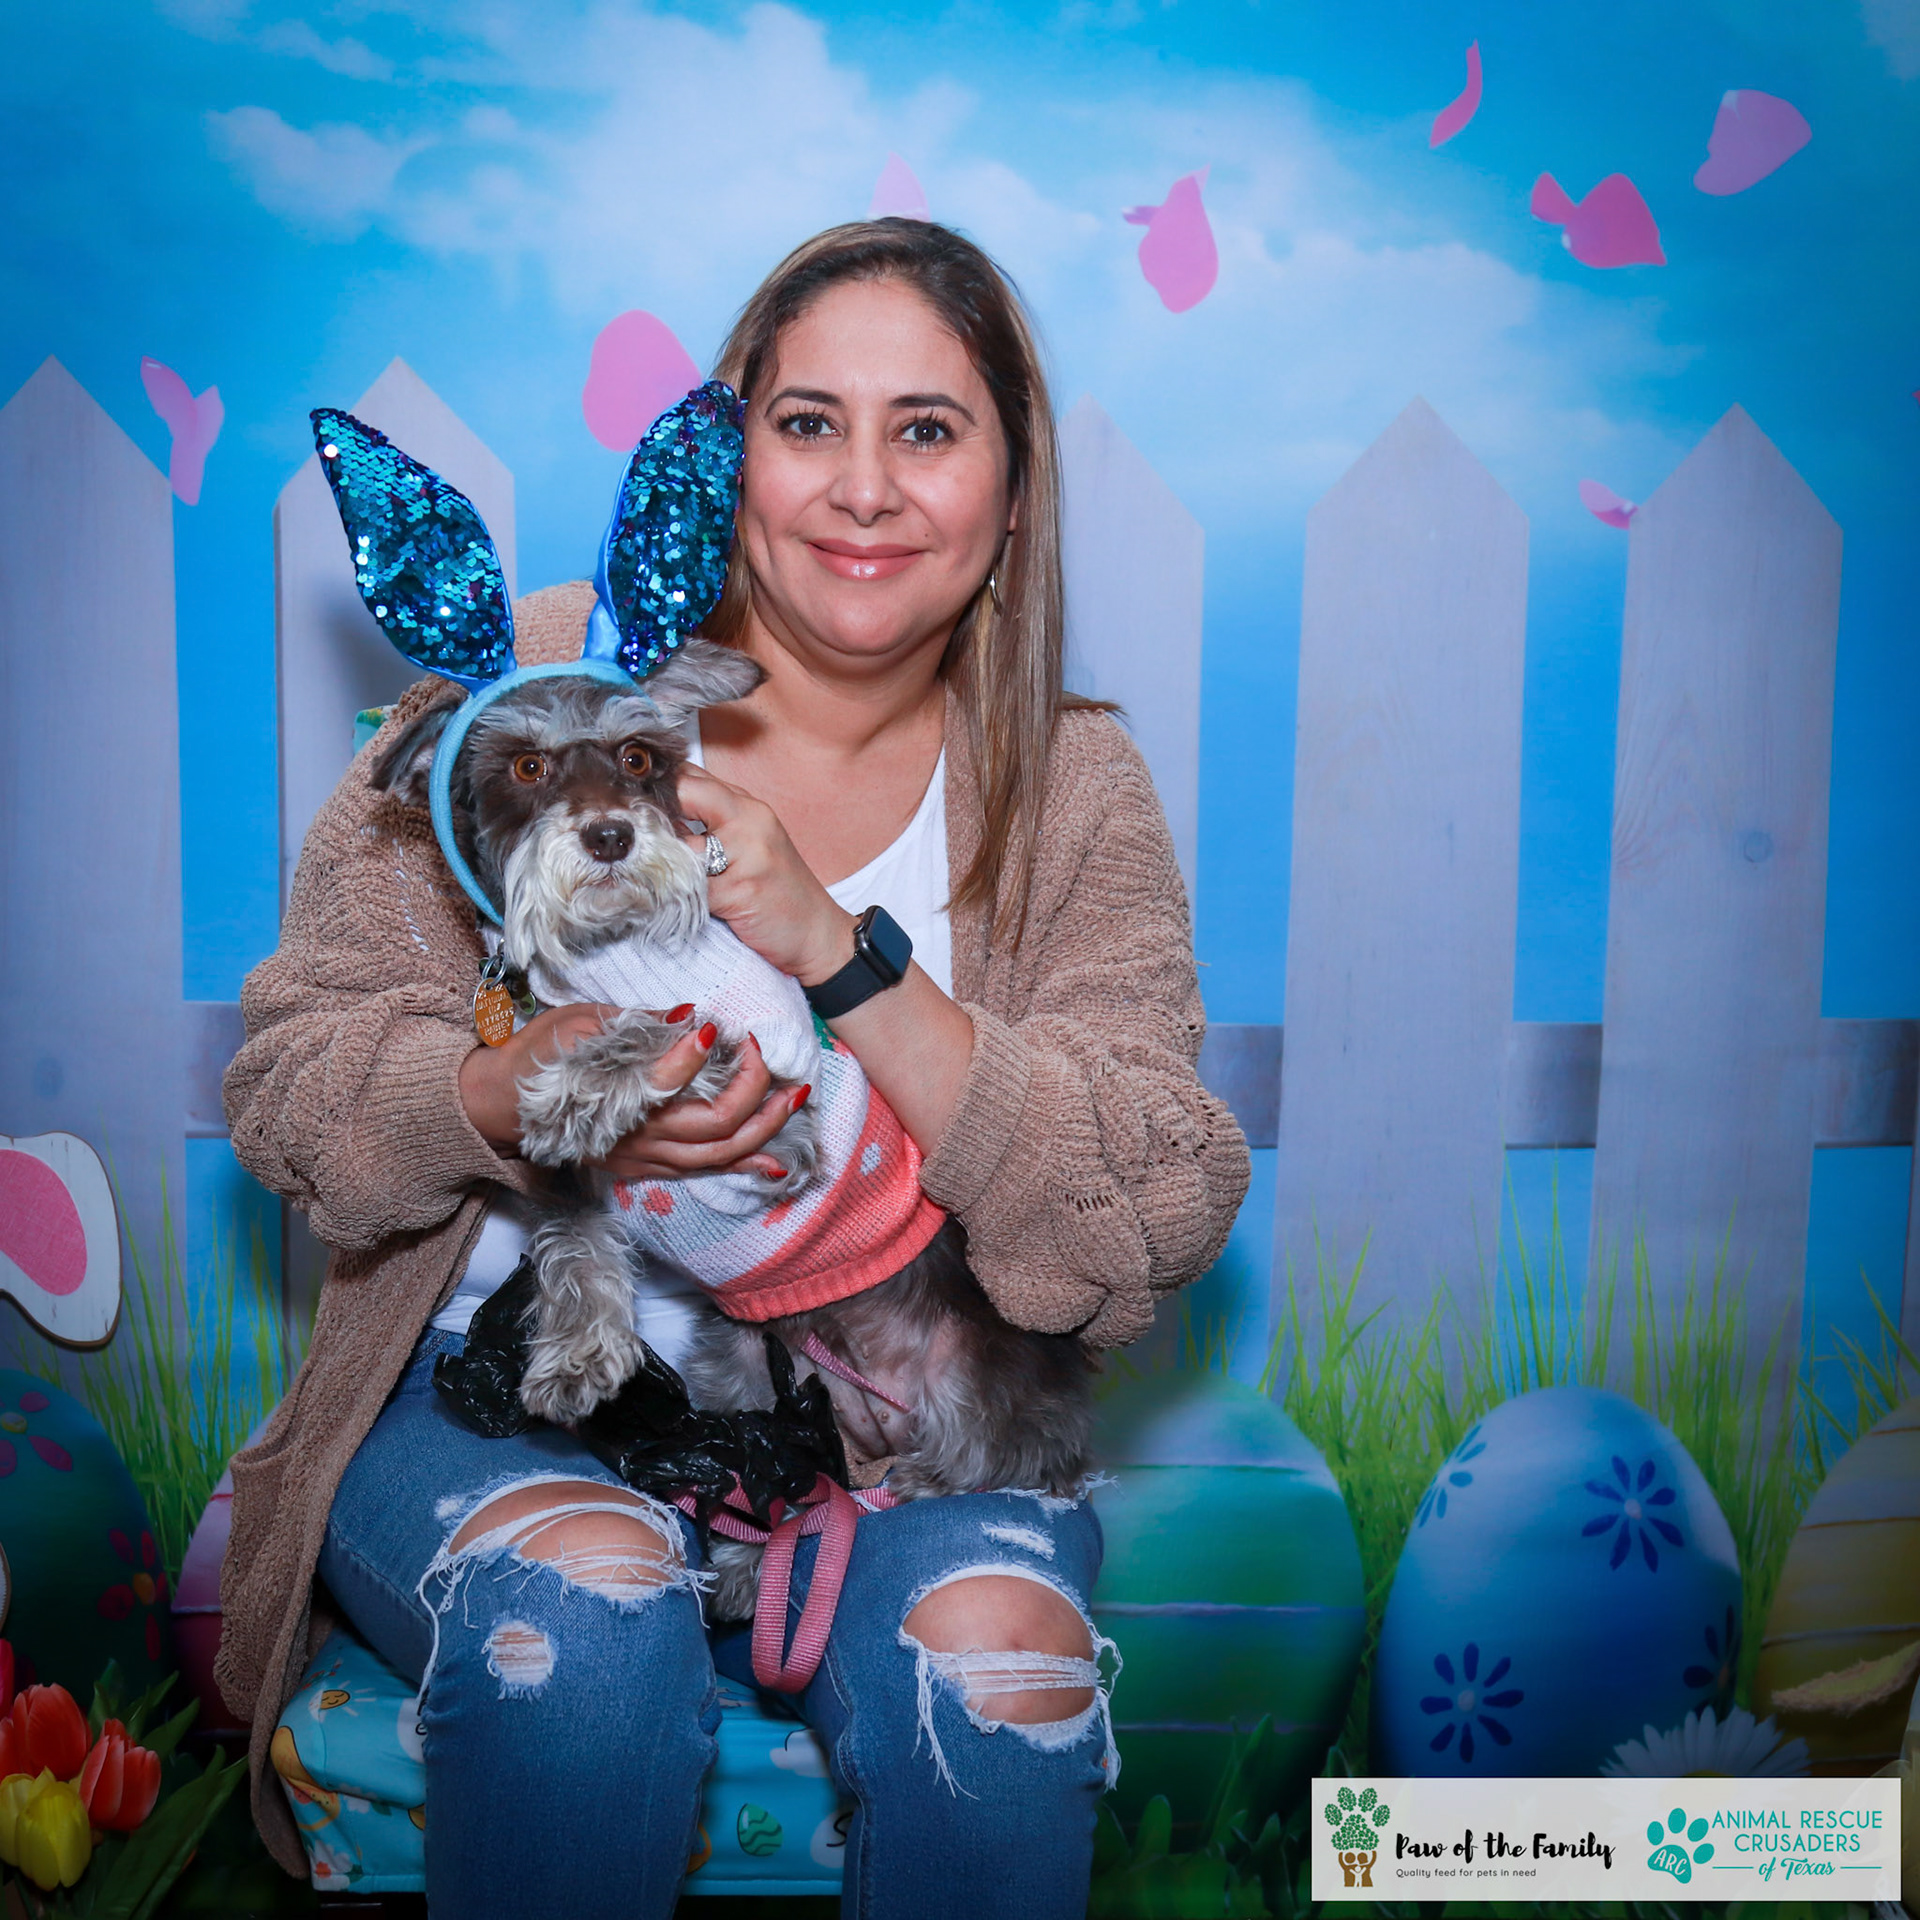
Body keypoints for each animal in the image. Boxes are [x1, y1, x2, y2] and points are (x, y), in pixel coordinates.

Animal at [372, 642, 1095, 1614]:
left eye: (638, 756)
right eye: (527, 767)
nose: (610, 835)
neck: (610, 953)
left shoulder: (779, 1110)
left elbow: (667, 1026)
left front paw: (584, 1083)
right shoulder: (568, 1186)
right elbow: (574, 1246)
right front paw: (580, 1352)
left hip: (972, 1383)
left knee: (1021, 1453)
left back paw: (923, 1482)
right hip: (746, 1368)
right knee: (781, 1477)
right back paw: (751, 1563)